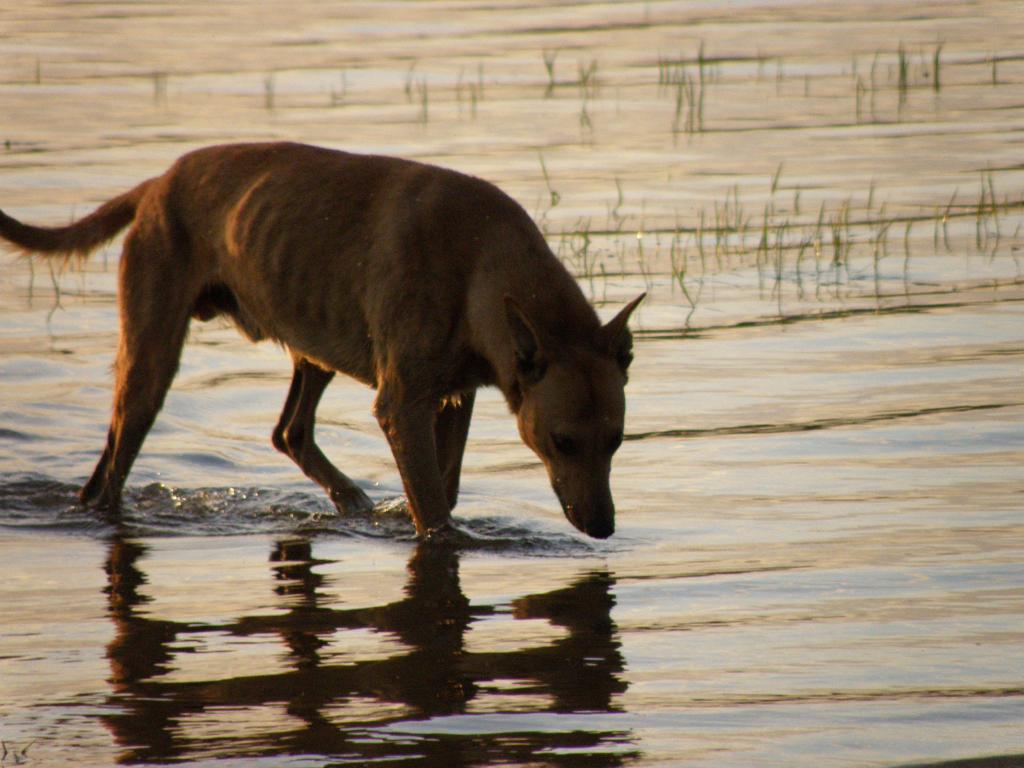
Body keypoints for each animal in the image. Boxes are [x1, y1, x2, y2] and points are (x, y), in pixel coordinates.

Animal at [0, 145, 638, 540]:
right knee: (116, 460)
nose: (603, 527)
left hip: (314, 341)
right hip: (151, 358)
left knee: (290, 430)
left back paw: (350, 500)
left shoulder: (453, 395)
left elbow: (445, 486)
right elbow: (433, 509)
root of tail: (157, 184)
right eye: (562, 441)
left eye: (617, 440)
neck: (481, 257)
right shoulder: (403, 404)